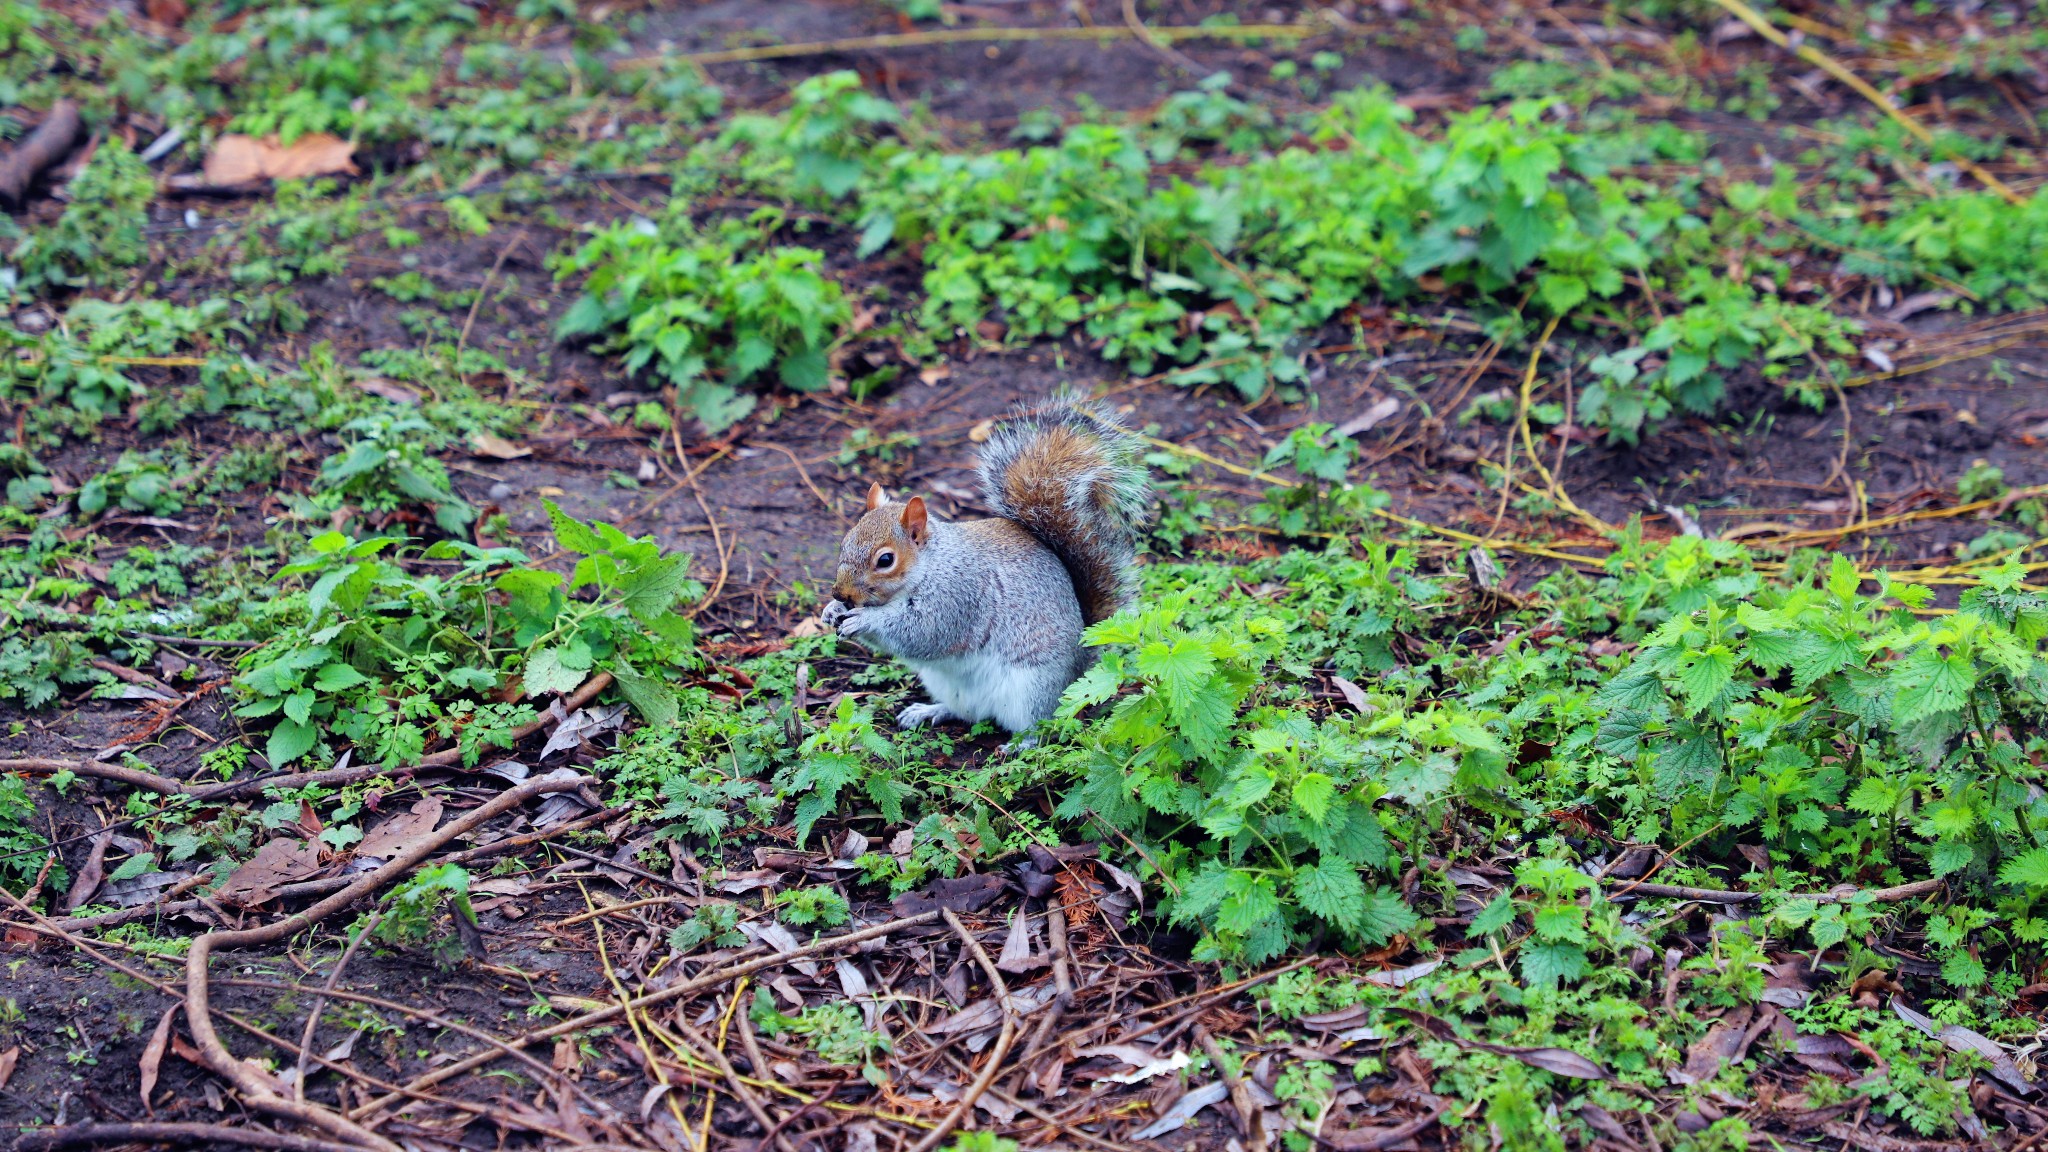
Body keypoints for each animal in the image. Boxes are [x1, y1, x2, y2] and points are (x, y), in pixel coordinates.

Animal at [823, 393, 1163, 729]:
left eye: (885, 560)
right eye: (845, 541)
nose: (841, 593)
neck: (929, 566)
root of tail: (1077, 670)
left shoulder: (958, 594)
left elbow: (924, 632)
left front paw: (865, 619)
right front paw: (833, 610)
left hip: (1032, 687)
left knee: (1038, 724)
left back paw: (1017, 739)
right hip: (947, 685)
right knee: (968, 713)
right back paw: (929, 711)